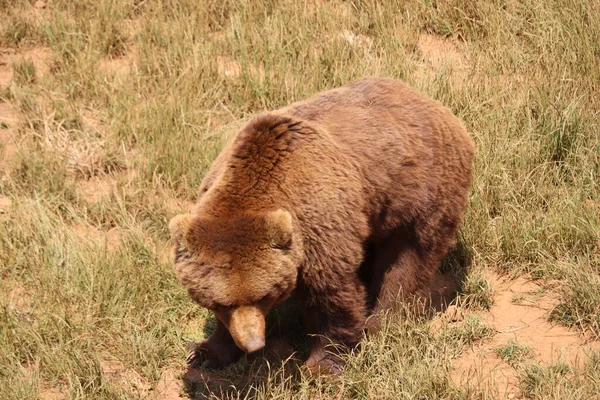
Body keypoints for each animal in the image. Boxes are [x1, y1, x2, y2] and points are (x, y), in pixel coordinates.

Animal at [171, 77, 476, 372]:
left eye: (264, 296)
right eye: (223, 303)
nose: (254, 344)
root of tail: (436, 105)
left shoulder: (320, 221)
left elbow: (331, 295)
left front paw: (324, 365)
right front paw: (205, 352)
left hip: (422, 191)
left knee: (409, 260)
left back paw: (381, 323)